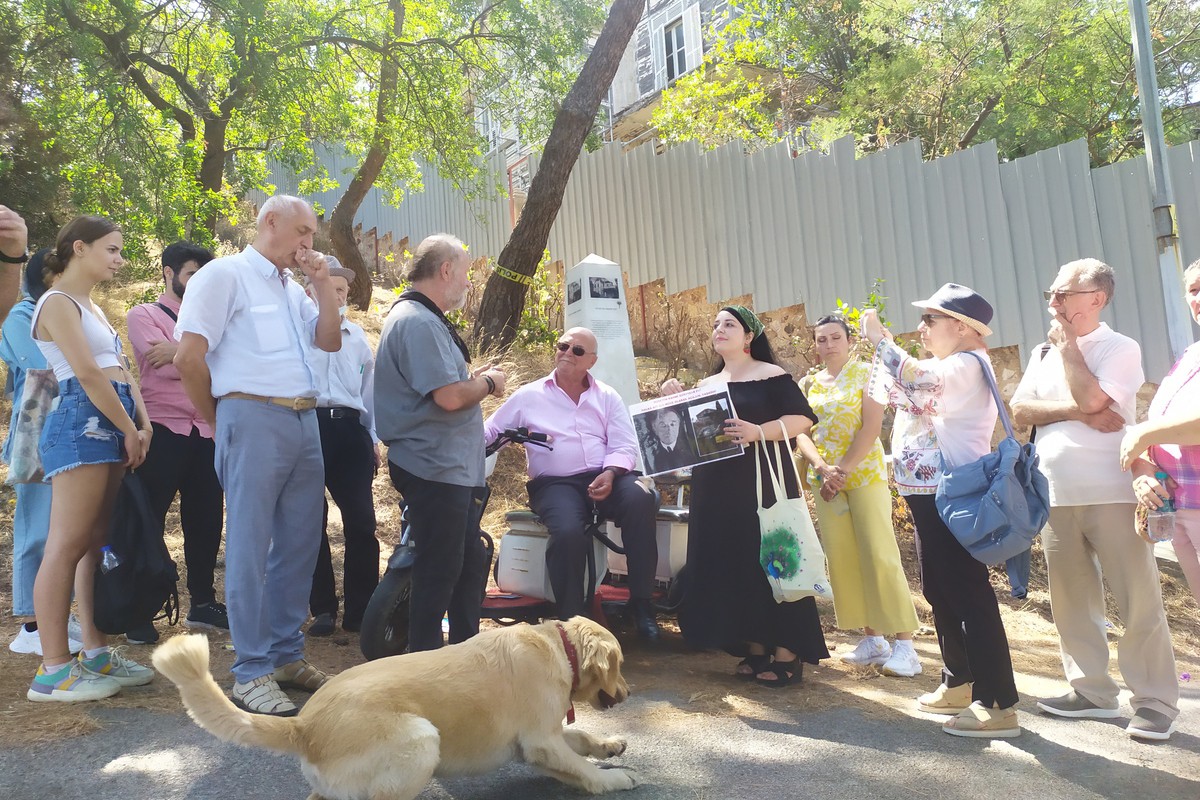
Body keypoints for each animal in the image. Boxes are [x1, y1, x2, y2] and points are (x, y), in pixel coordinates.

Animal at [153, 618, 643, 796]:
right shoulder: (541, 742)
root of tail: (304, 726)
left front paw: (612, 745)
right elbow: (581, 767)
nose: (628, 691)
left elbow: (581, 740)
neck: (559, 646)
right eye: (620, 664)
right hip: (422, 739)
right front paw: (614, 778)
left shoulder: (541, 741)